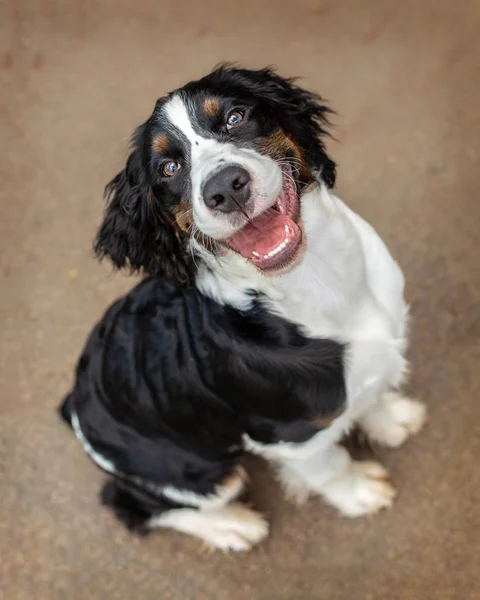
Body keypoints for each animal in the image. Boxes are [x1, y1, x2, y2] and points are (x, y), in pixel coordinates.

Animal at [61, 67, 428, 552]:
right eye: (169, 168)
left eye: (235, 117)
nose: (224, 188)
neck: (316, 279)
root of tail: (75, 404)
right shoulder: (288, 436)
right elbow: (330, 467)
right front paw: (360, 493)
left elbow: (368, 394)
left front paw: (391, 419)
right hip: (199, 470)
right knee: (132, 505)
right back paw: (232, 526)